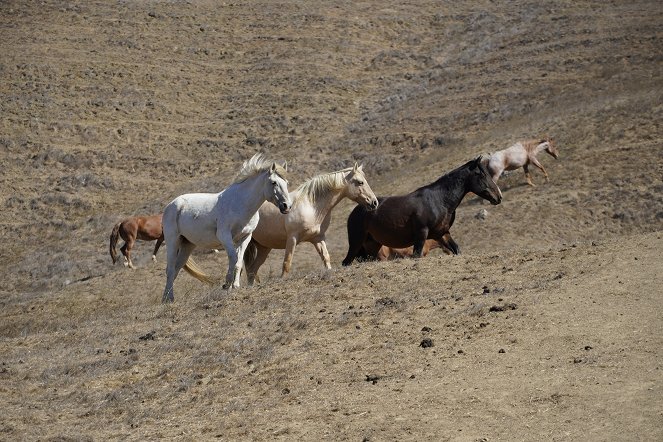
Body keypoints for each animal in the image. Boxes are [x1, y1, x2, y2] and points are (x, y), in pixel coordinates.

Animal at [161, 154, 290, 302]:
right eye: (274, 182)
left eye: (286, 183)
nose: (286, 206)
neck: (240, 204)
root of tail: (170, 205)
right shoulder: (225, 236)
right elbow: (233, 257)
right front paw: (226, 284)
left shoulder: (245, 237)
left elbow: (238, 262)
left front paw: (235, 286)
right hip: (173, 241)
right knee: (170, 269)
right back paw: (167, 299)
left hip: (187, 245)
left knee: (176, 268)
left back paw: (167, 298)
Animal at [244, 162, 378, 284]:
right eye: (360, 182)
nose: (374, 202)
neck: (311, 206)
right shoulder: (292, 238)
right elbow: (287, 263)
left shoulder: (318, 238)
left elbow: (326, 258)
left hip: (263, 247)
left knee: (252, 270)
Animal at [342, 155, 504, 266]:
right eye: (481, 174)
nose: (498, 197)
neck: (439, 200)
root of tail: (355, 212)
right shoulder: (421, 234)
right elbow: (417, 255)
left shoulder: (442, 234)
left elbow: (456, 249)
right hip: (356, 243)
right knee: (346, 262)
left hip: (372, 246)